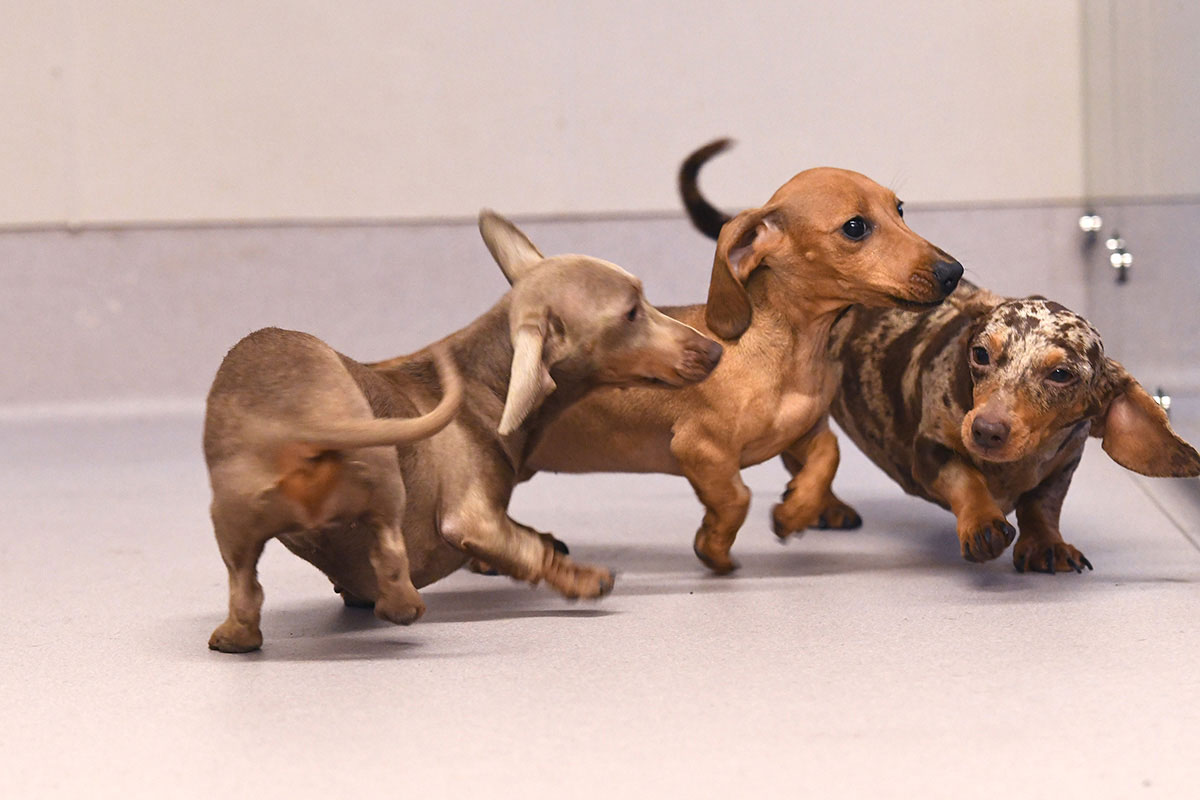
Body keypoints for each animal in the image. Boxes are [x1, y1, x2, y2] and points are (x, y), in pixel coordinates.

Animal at [204, 211, 720, 652]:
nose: (716, 349)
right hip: (385, 493)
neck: (480, 383)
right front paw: (582, 578)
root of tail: (303, 419)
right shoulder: (472, 520)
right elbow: (527, 549)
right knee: (389, 557)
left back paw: (236, 636)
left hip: (233, 523)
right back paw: (403, 605)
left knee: (245, 585)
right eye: (632, 312)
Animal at [530, 139, 960, 575]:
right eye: (855, 227)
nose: (953, 272)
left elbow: (829, 454)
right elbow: (738, 498)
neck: (787, 355)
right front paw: (715, 548)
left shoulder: (805, 431)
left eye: (900, 209)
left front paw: (795, 511)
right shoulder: (700, 448)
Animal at [825, 284, 1200, 573]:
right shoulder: (932, 449)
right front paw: (982, 524)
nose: (986, 430)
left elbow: (1043, 504)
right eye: (979, 353)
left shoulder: (1064, 464)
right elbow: (965, 478)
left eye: (1060, 374)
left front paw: (1047, 544)